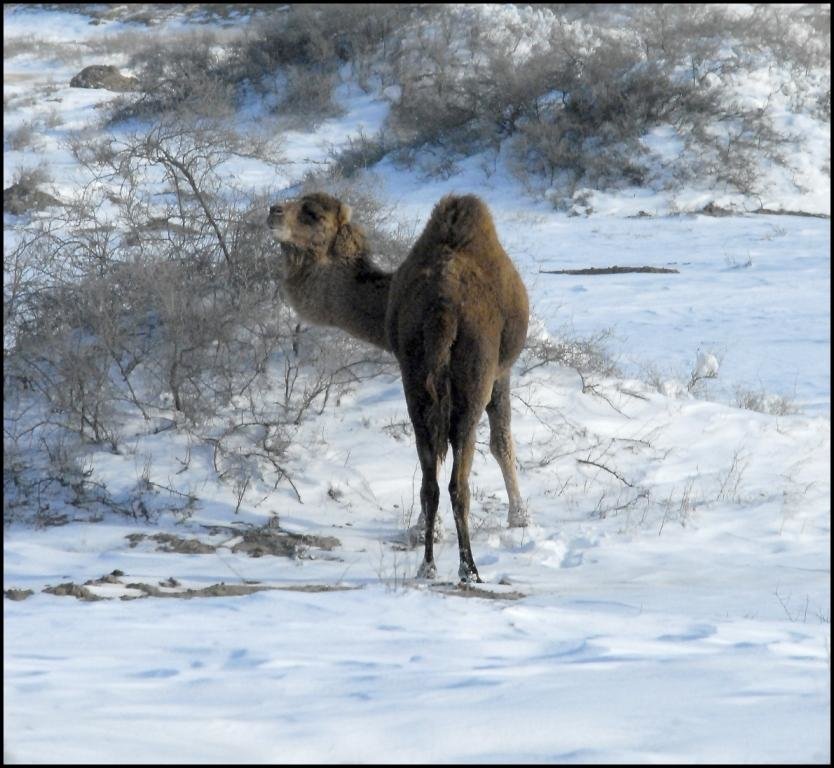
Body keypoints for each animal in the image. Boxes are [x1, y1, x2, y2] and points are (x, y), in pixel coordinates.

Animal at [266, 192, 528, 584]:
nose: (273, 211)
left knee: (430, 473)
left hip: (417, 373)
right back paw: (468, 569)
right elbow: (501, 443)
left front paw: (424, 530)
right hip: (472, 376)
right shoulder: (500, 370)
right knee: (458, 476)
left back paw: (428, 564)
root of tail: (443, 309)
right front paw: (521, 518)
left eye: (312, 214)